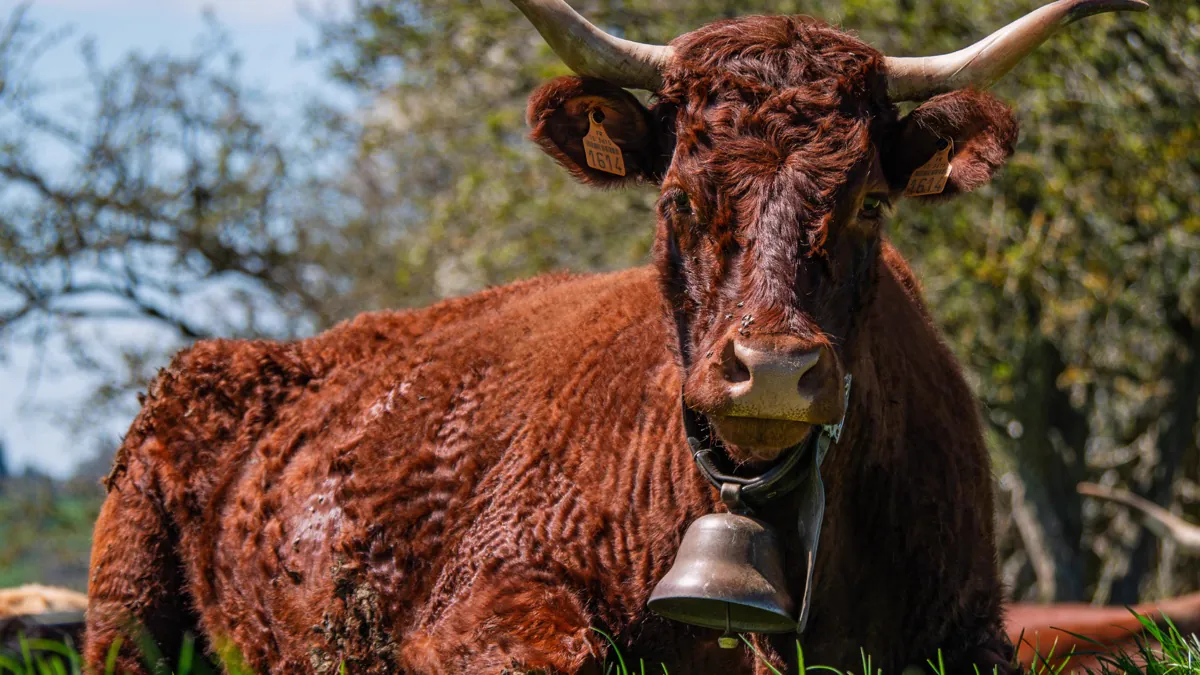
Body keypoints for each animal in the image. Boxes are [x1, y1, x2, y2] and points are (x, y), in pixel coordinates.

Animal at [83, 1, 1148, 673]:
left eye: (871, 203)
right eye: (678, 196)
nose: (774, 369)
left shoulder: (971, 625)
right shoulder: (486, 599)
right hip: (124, 605)